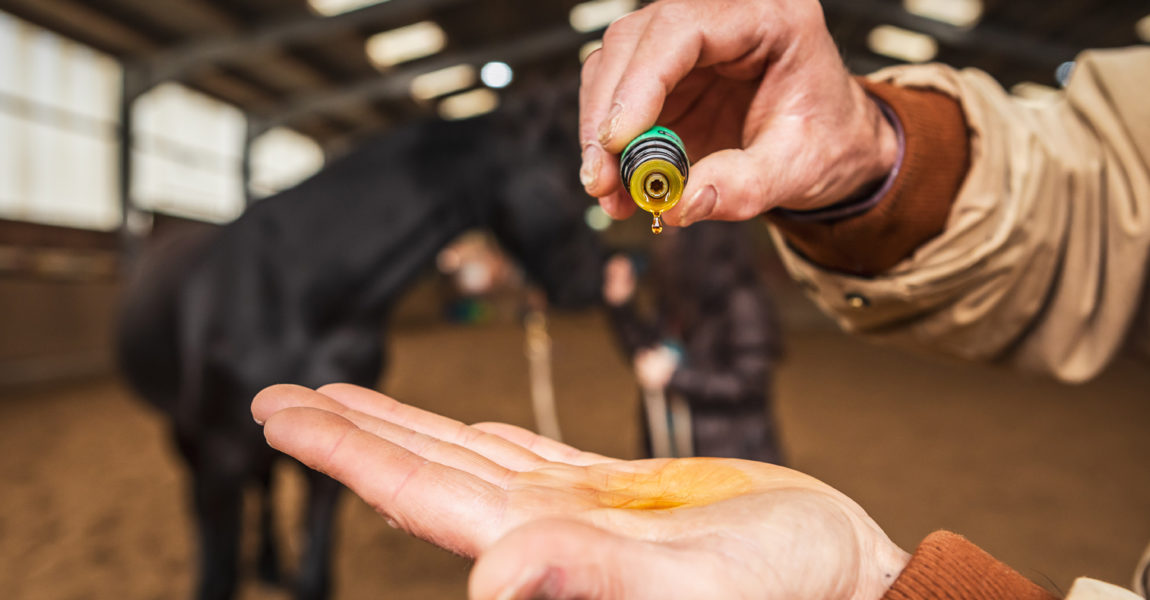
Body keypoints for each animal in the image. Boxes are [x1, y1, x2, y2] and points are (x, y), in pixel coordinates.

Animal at [115, 89, 602, 597]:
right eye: (557, 182)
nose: (592, 281)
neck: (298, 288)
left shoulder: (310, 464)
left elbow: (313, 574)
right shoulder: (219, 452)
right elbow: (218, 573)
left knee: (263, 483)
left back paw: (268, 563)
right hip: (184, 428)